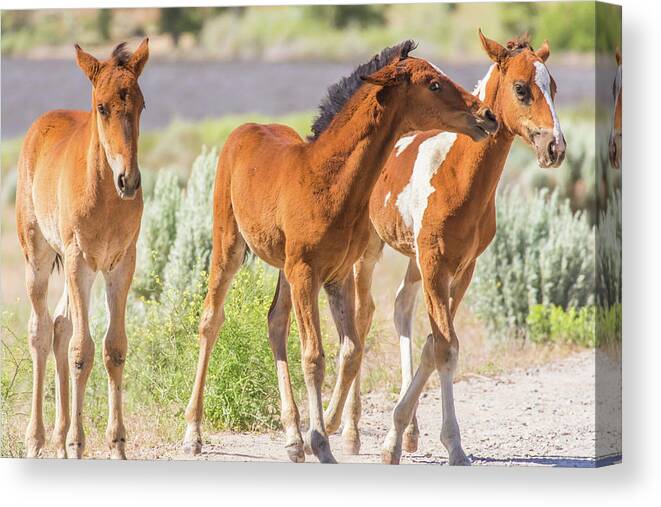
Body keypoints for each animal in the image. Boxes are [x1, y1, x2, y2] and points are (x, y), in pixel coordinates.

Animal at [15, 39, 150, 460]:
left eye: (142, 105)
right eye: (102, 107)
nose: (129, 180)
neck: (103, 195)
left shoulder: (121, 263)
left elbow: (113, 348)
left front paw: (117, 444)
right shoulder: (78, 261)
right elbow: (81, 350)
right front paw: (77, 442)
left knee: (60, 325)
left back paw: (57, 440)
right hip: (38, 255)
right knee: (41, 331)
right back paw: (38, 439)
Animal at [180, 41, 496, 462]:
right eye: (433, 83)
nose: (487, 115)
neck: (328, 182)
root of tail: (244, 129)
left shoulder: (336, 273)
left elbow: (351, 349)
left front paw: (320, 433)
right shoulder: (306, 272)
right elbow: (314, 356)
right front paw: (322, 443)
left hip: (284, 267)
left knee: (275, 322)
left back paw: (292, 437)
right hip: (229, 244)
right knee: (211, 319)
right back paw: (193, 433)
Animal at [330, 31, 568, 466]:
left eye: (554, 87)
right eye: (521, 89)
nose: (555, 148)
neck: (458, 177)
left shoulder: (460, 267)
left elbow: (437, 345)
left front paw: (403, 434)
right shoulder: (435, 264)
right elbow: (444, 347)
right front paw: (444, 444)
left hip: (413, 260)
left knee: (401, 308)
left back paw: (408, 432)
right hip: (369, 250)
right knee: (363, 316)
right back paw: (349, 430)